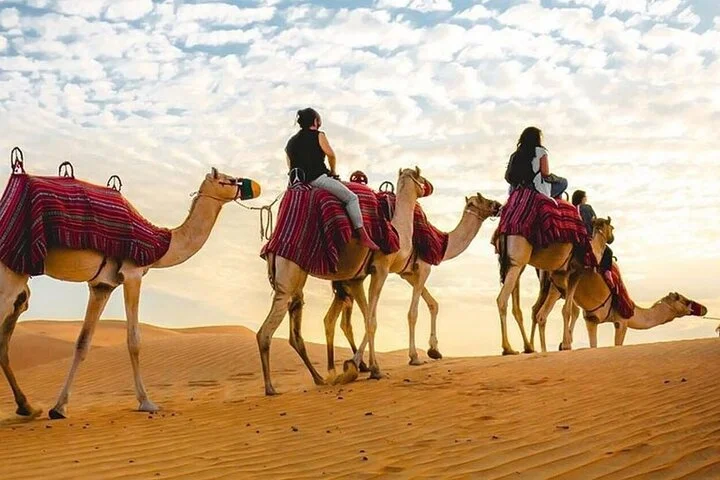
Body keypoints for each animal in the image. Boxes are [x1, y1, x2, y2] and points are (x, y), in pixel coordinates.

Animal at [0, 168, 260, 419]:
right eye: (230, 180)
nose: (254, 186)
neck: (160, 244)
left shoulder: (101, 286)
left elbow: (83, 343)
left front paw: (59, 408)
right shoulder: (133, 273)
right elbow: (134, 340)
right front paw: (146, 402)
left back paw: (28, 407)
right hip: (12, 272)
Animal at [257, 167, 428, 395]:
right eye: (421, 178)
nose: (428, 187)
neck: (396, 230)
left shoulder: (356, 279)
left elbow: (366, 318)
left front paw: (360, 366)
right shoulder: (380, 269)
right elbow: (371, 320)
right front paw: (373, 369)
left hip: (296, 281)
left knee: (295, 331)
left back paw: (319, 378)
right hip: (288, 277)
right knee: (266, 332)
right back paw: (271, 387)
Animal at [323, 193, 502, 372]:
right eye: (483, 199)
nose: (498, 205)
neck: (441, 244)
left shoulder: (408, 274)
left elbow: (433, 304)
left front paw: (434, 350)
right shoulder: (424, 268)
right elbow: (413, 313)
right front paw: (414, 356)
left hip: (350, 280)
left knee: (340, 319)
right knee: (354, 318)